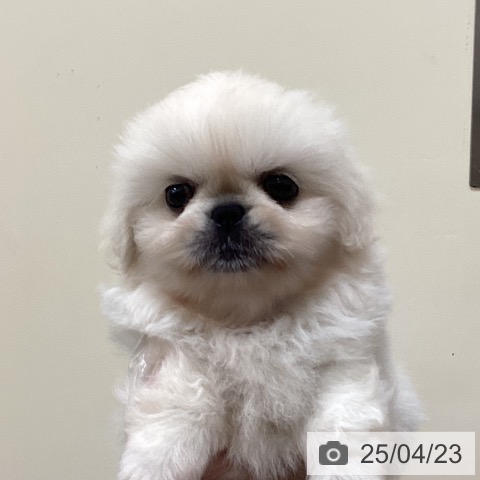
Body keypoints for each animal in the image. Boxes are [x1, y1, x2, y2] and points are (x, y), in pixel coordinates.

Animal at [101, 71, 421, 480]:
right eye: (176, 195)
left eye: (282, 186)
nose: (226, 211)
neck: (247, 322)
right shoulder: (175, 356)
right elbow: (178, 405)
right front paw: (152, 465)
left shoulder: (343, 365)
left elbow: (343, 426)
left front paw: (345, 470)